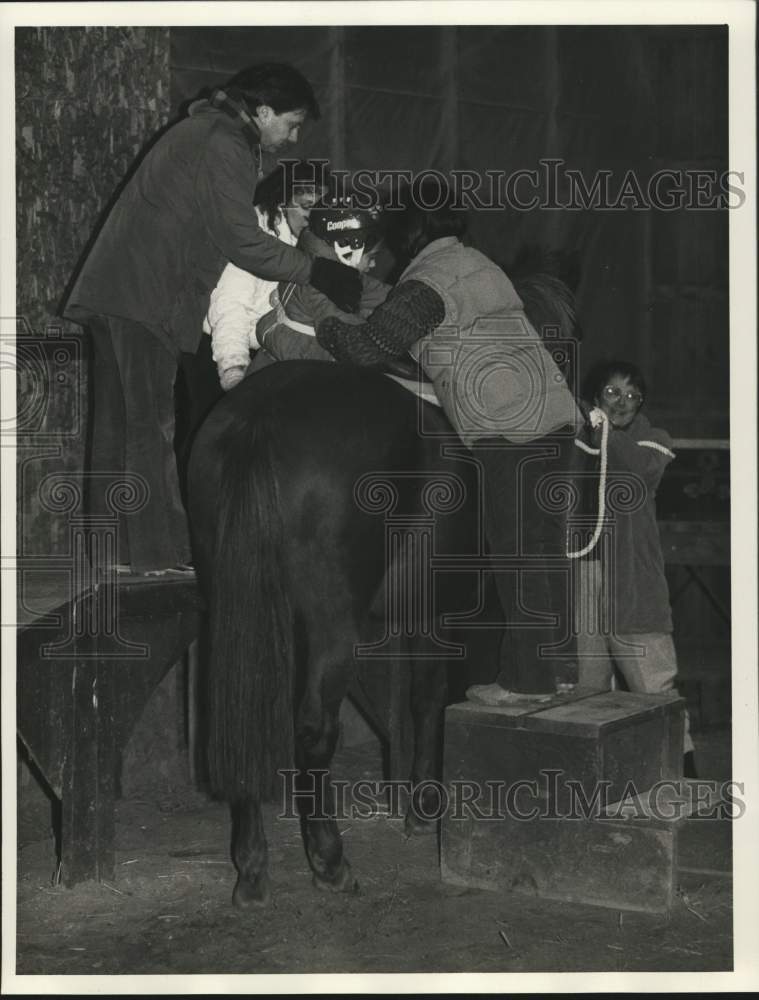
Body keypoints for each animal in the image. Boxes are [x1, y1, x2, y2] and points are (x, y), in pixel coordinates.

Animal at [187, 248, 580, 908]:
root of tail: (258, 419)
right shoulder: (442, 616)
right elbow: (428, 701)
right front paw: (423, 806)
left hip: (241, 609)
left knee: (246, 715)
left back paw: (253, 866)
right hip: (330, 625)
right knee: (313, 727)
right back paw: (329, 859)